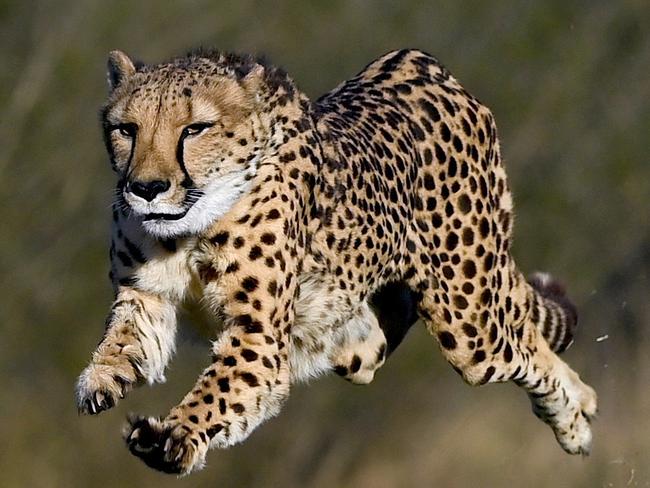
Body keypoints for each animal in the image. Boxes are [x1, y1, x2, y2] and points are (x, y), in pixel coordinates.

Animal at [73, 48, 596, 472]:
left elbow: (219, 391)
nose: (146, 187)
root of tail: (419, 62)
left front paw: (173, 436)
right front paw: (103, 377)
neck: (191, 226)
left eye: (195, 129)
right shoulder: (146, 295)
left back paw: (577, 419)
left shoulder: (258, 336)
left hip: (469, 324)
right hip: (355, 341)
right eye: (126, 130)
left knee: (527, 345)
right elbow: (126, 338)